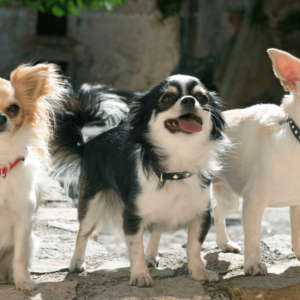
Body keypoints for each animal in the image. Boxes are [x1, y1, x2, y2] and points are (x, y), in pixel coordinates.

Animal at [51, 75, 226, 286]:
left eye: (202, 98)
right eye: (167, 99)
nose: (189, 100)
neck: (176, 167)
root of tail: (88, 143)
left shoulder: (200, 216)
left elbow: (194, 247)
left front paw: (199, 272)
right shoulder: (132, 216)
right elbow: (135, 249)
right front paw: (140, 275)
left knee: (156, 231)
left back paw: (151, 256)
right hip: (91, 203)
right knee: (82, 232)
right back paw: (77, 262)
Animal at [212, 48, 300, 276]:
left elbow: (297, 232)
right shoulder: (254, 199)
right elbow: (253, 236)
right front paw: (252, 264)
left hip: (230, 199)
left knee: (217, 211)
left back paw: (224, 243)